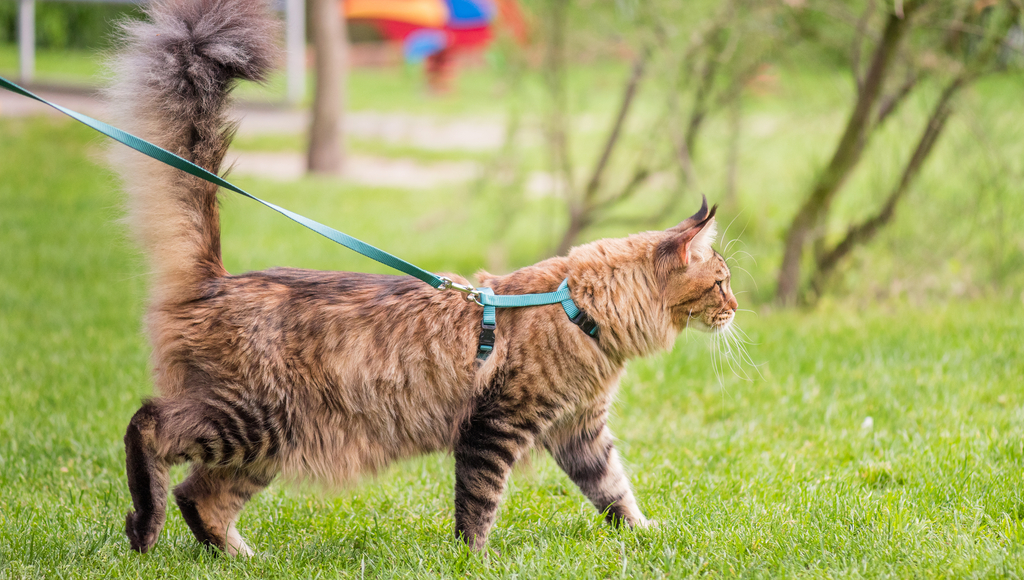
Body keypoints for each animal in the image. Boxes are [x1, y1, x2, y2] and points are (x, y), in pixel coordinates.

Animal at [110, 0, 737, 557]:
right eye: (722, 283)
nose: (736, 308)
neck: (576, 306)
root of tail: (217, 280)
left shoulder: (580, 431)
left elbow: (615, 492)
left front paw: (646, 535)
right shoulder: (497, 425)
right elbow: (480, 503)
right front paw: (473, 560)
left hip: (265, 447)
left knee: (200, 497)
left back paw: (242, 557)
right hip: (252, 419)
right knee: (148, 427)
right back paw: (144, 524)